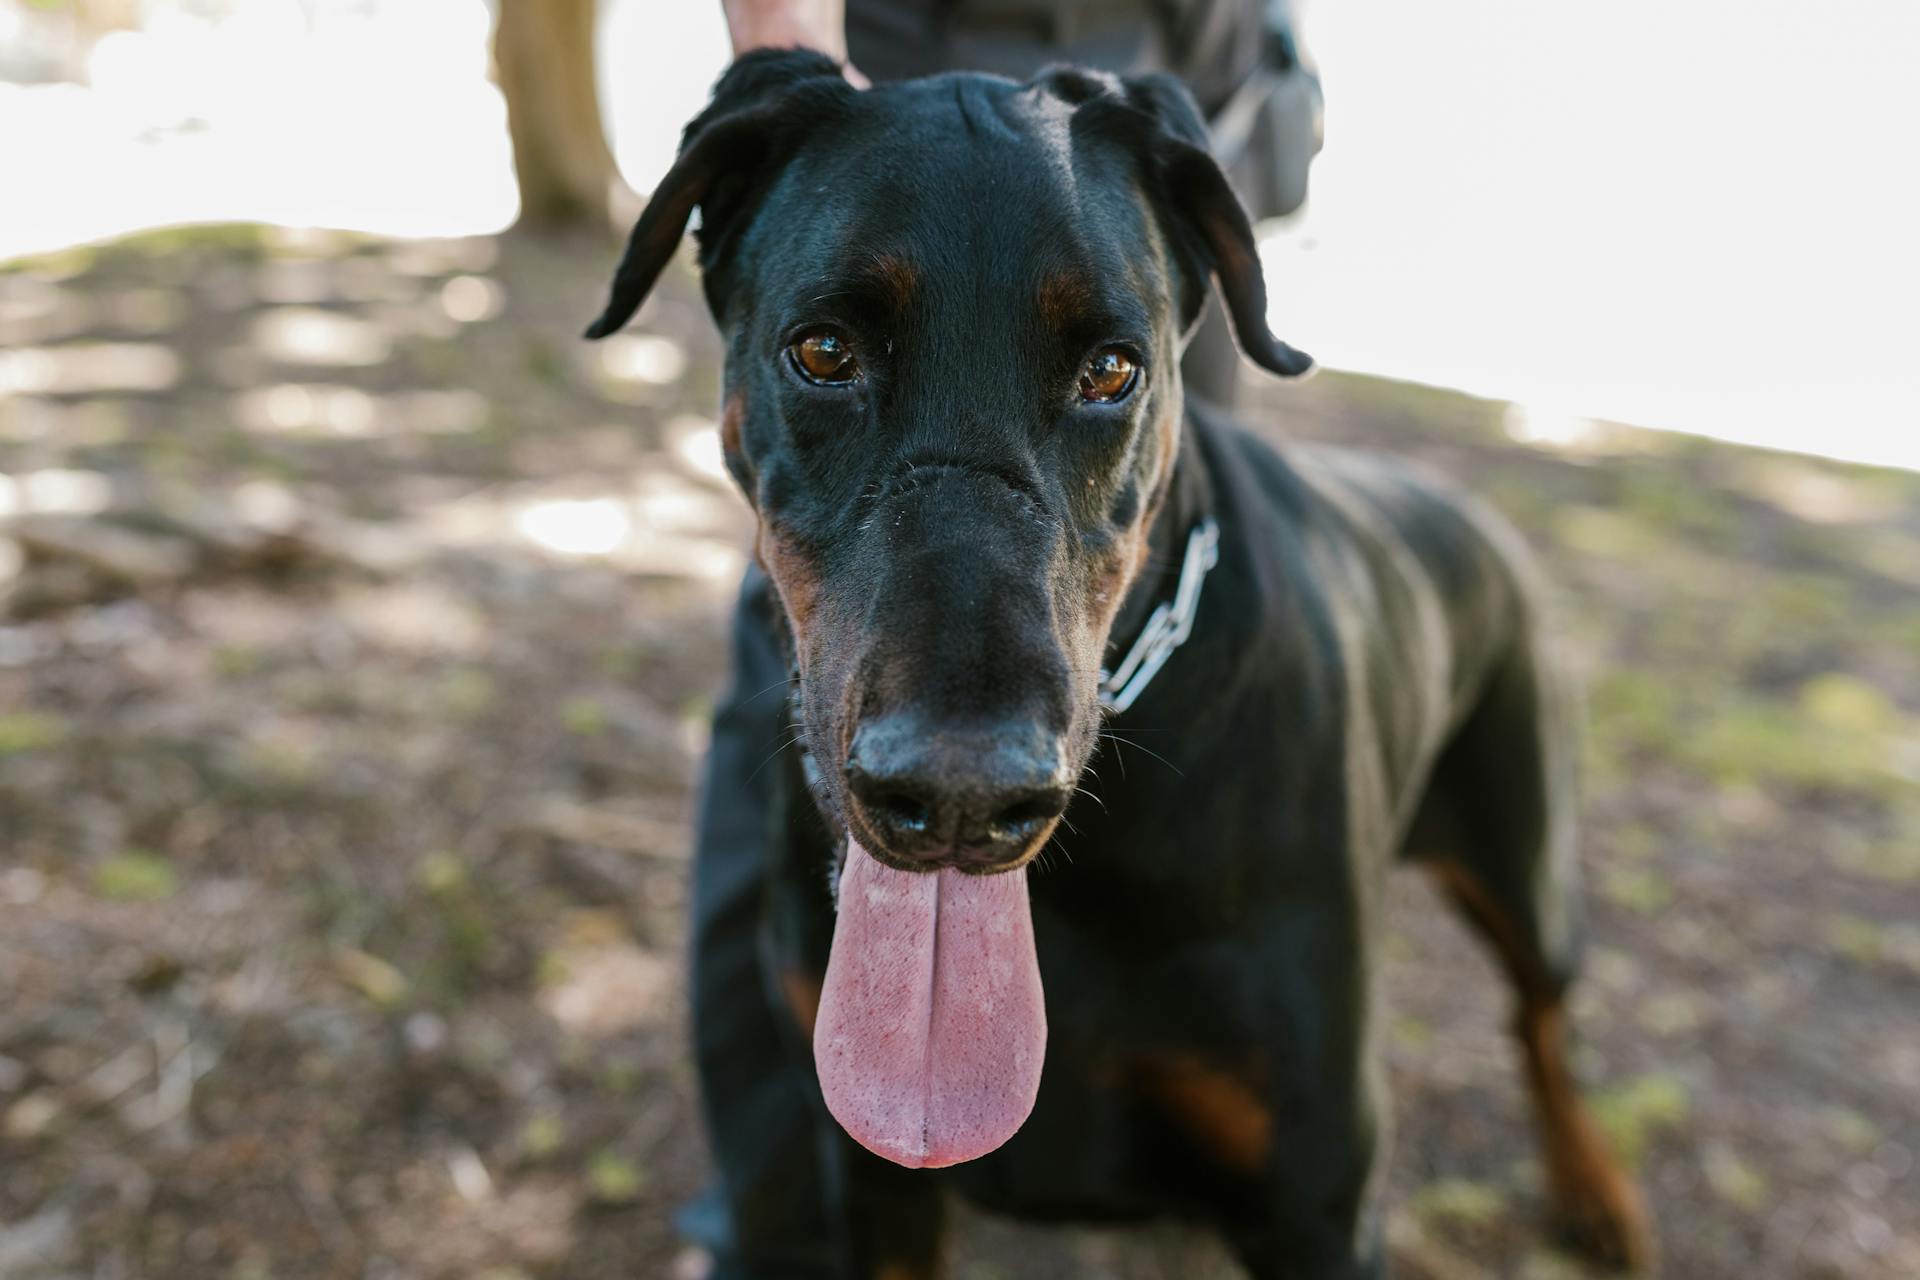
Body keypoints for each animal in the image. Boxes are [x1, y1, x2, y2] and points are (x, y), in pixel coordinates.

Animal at [583, 50, 1651, 1280]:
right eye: (823, 351)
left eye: (1111, 368)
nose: (962, 794)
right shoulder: (870, 1171)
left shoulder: (1317, 1190)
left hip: (1526, 856)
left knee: (1541, 1016)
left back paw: (1594, 1188)